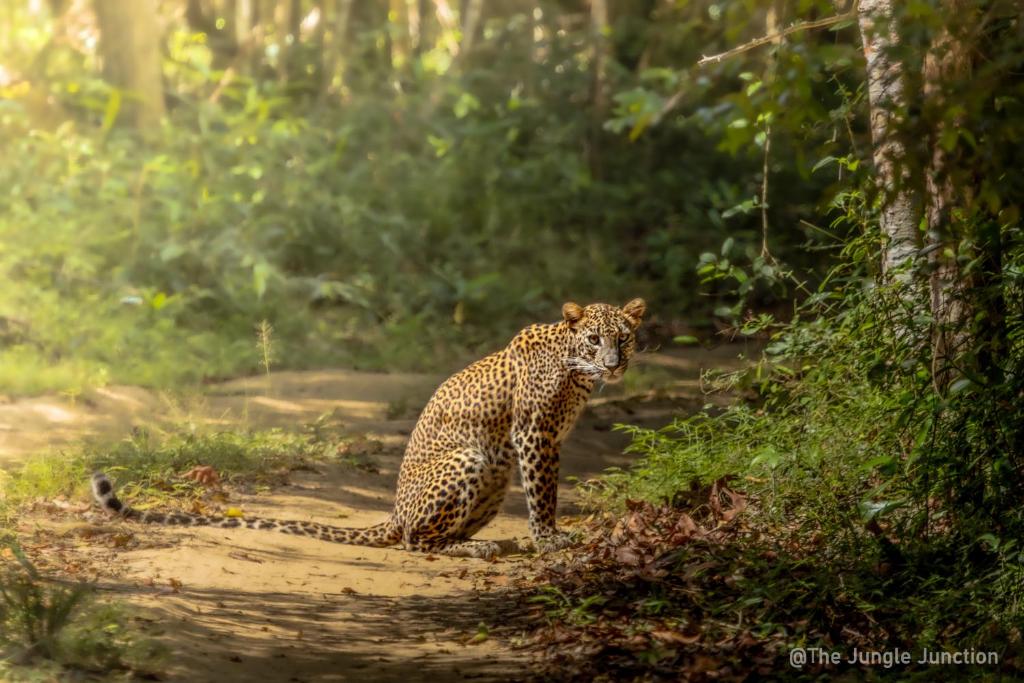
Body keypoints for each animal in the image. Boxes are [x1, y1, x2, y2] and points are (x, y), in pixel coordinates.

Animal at [91, 298, 646, 559]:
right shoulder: (533, 435)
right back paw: (481, 548)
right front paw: (551, 540)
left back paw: (488, 543)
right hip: (469, 459)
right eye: (594, 339)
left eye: (623, 338)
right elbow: (543, 494)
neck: (577, 373)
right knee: (416, 542)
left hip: (492, 475)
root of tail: (393, 514)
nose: (615, 364)